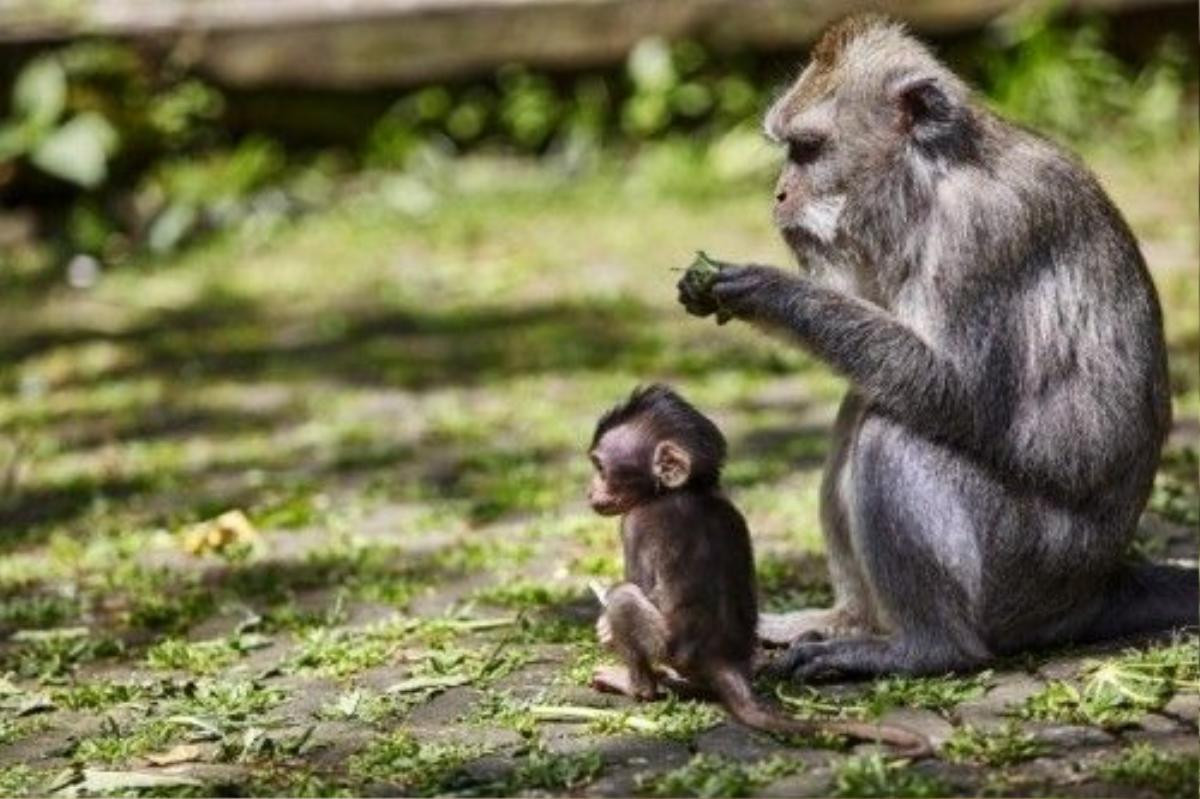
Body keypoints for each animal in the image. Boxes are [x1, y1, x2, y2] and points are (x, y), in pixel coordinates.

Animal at [585, 386, 931, 753]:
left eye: (600, 468)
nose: (589, 491)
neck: (686, 489)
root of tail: (721, 660)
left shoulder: (635, 523)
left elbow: (636, 585)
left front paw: (605, 627)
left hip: (669, 648)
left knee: (623, 597)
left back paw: (637, 685)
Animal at [681, 15, 1195, 676]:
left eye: (807, 149)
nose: (778, 194)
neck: (932, 177)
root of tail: (1097, 587)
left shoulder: (982, 232)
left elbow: (953, 391)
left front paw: (768, 292)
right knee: (863, 405)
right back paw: (846, 621)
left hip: (1023, 566)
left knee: (890, 432)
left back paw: (922, 649)